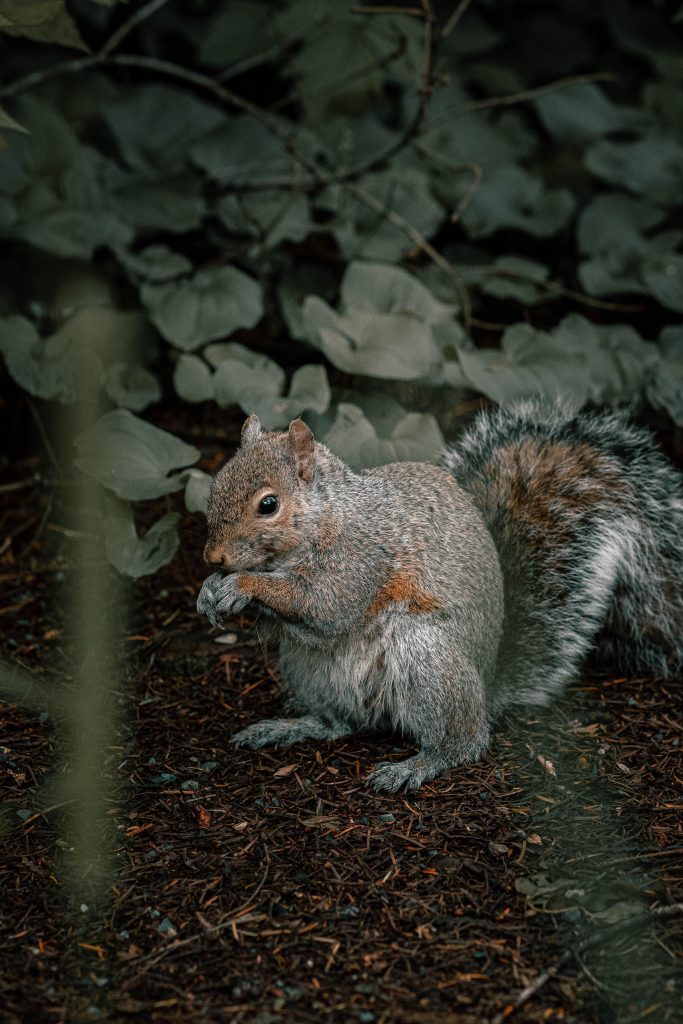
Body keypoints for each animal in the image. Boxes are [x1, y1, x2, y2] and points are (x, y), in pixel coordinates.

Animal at [194, 399, 679, 790]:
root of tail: (486, 683)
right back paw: (287, 727)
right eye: (215, 485)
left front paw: (241, 584)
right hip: (308, 671)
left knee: (463, 741)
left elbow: (326, 605)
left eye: (268, 504)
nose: (212, 557)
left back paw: (417, 765)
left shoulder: (361, 558)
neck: (329, 516)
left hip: (425, 656)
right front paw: (210, 593)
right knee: (339, 722)